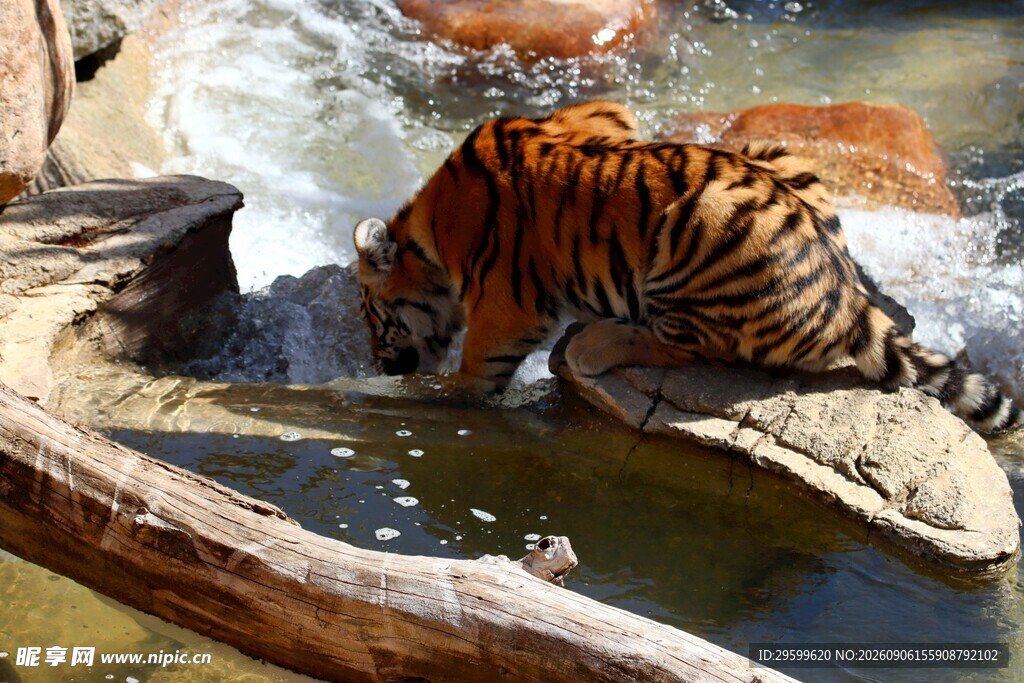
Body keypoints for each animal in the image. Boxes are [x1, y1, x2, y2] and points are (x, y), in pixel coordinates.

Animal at [353, 100, 1021, 434]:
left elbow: (459, 382)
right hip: (773, 153)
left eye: (373, 319)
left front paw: (373, 391)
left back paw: (592, 345)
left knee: (696, 347)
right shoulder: (606, 112)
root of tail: (849, 298)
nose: (378, 361)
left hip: (704, 224)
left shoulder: (503, 314)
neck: (430, 228)